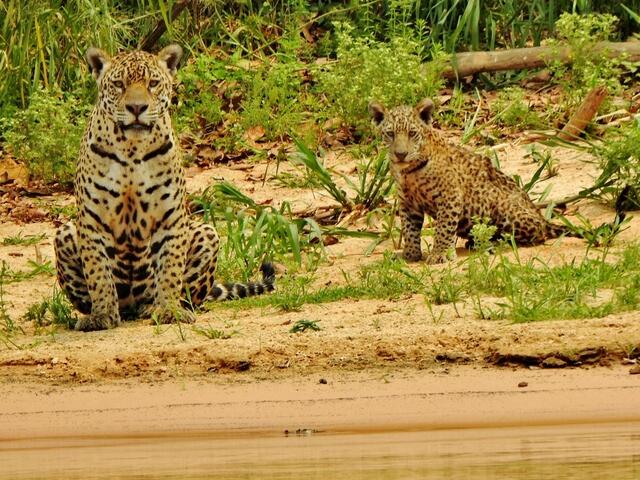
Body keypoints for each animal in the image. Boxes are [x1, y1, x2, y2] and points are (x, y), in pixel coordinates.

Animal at [54, 45, 274, 331]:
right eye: (119, 84)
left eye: (153, 84)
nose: (137, 107)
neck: (131, 150)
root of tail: (133, 306)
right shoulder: (92, 221)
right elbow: (98, 273)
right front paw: (102, 315)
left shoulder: (171, 217)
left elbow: (170, 268)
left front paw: (169, 310)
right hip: (64, 233)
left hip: (207, 233)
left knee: (189, 295)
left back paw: (159, 307)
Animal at [369, 97, 584, 264]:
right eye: (390, 134)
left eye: (412, 134)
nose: (400, 154)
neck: (409, 172)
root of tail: (541, 216)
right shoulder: (408, 203)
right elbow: (409, 230)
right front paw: (411, 254)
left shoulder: (450, 197)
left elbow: (444, 228)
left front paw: (439, 253)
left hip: (504, 208)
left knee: (536, 233)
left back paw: (492, 242)